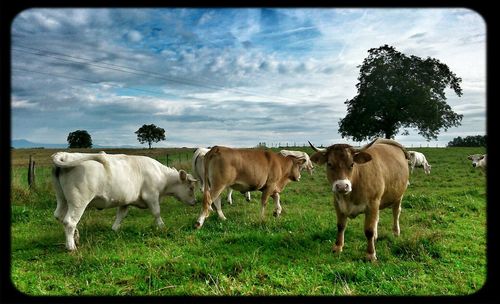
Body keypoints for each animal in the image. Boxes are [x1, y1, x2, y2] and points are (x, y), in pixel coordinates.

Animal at [51, 151, 197, 251]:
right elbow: (156, 212)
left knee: (60, 217)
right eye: (191, 187)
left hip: (62, 199)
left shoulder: (125, 201)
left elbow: (121, 215)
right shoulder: (151, 196)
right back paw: (71, 246)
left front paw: (114, 229)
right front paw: (161, 226)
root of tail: (66, 155)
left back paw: (76, 237)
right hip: (78, 201)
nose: (195, 202)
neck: (162, 176)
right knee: (69, 221)